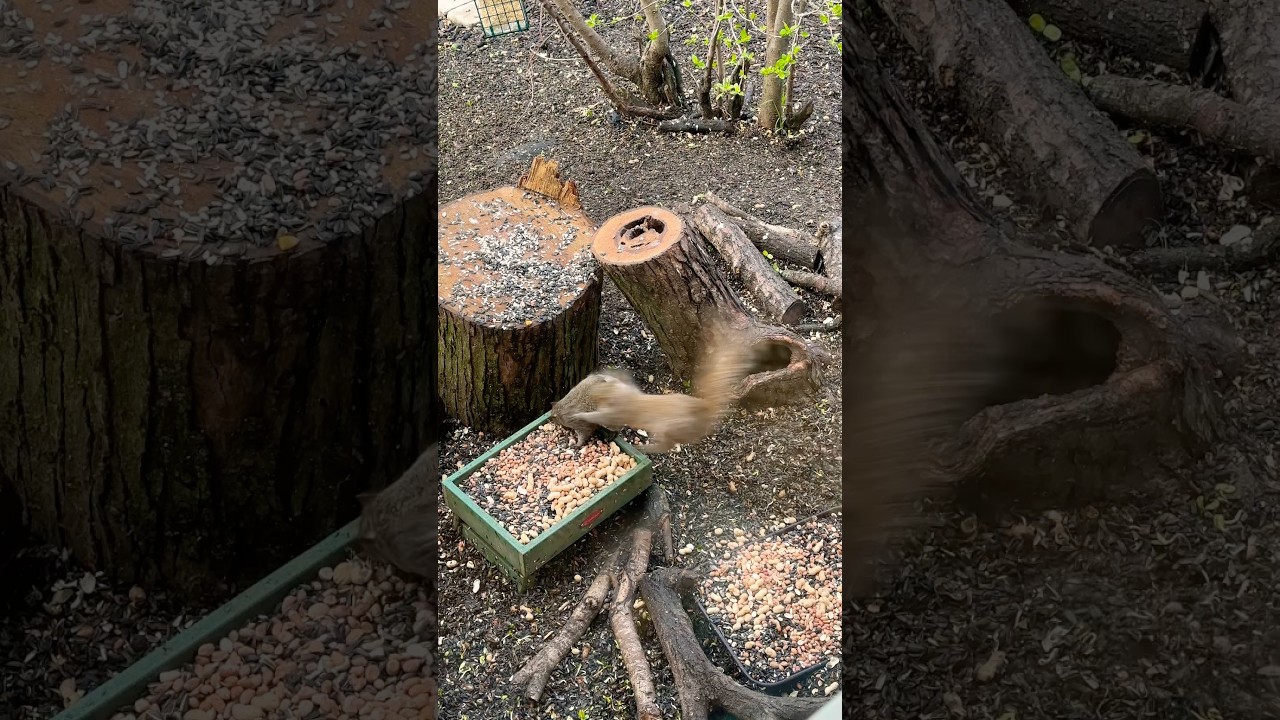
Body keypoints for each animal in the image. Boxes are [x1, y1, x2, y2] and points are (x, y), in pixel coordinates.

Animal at [551, 320, 757, 454]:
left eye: (599, 397)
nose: (554, 418)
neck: (622, 395)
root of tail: (704, 409)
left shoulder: (610, 416)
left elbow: (590, 426)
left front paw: (579, 429)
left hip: (672, 429)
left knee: (667, 445)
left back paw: (645, 447)